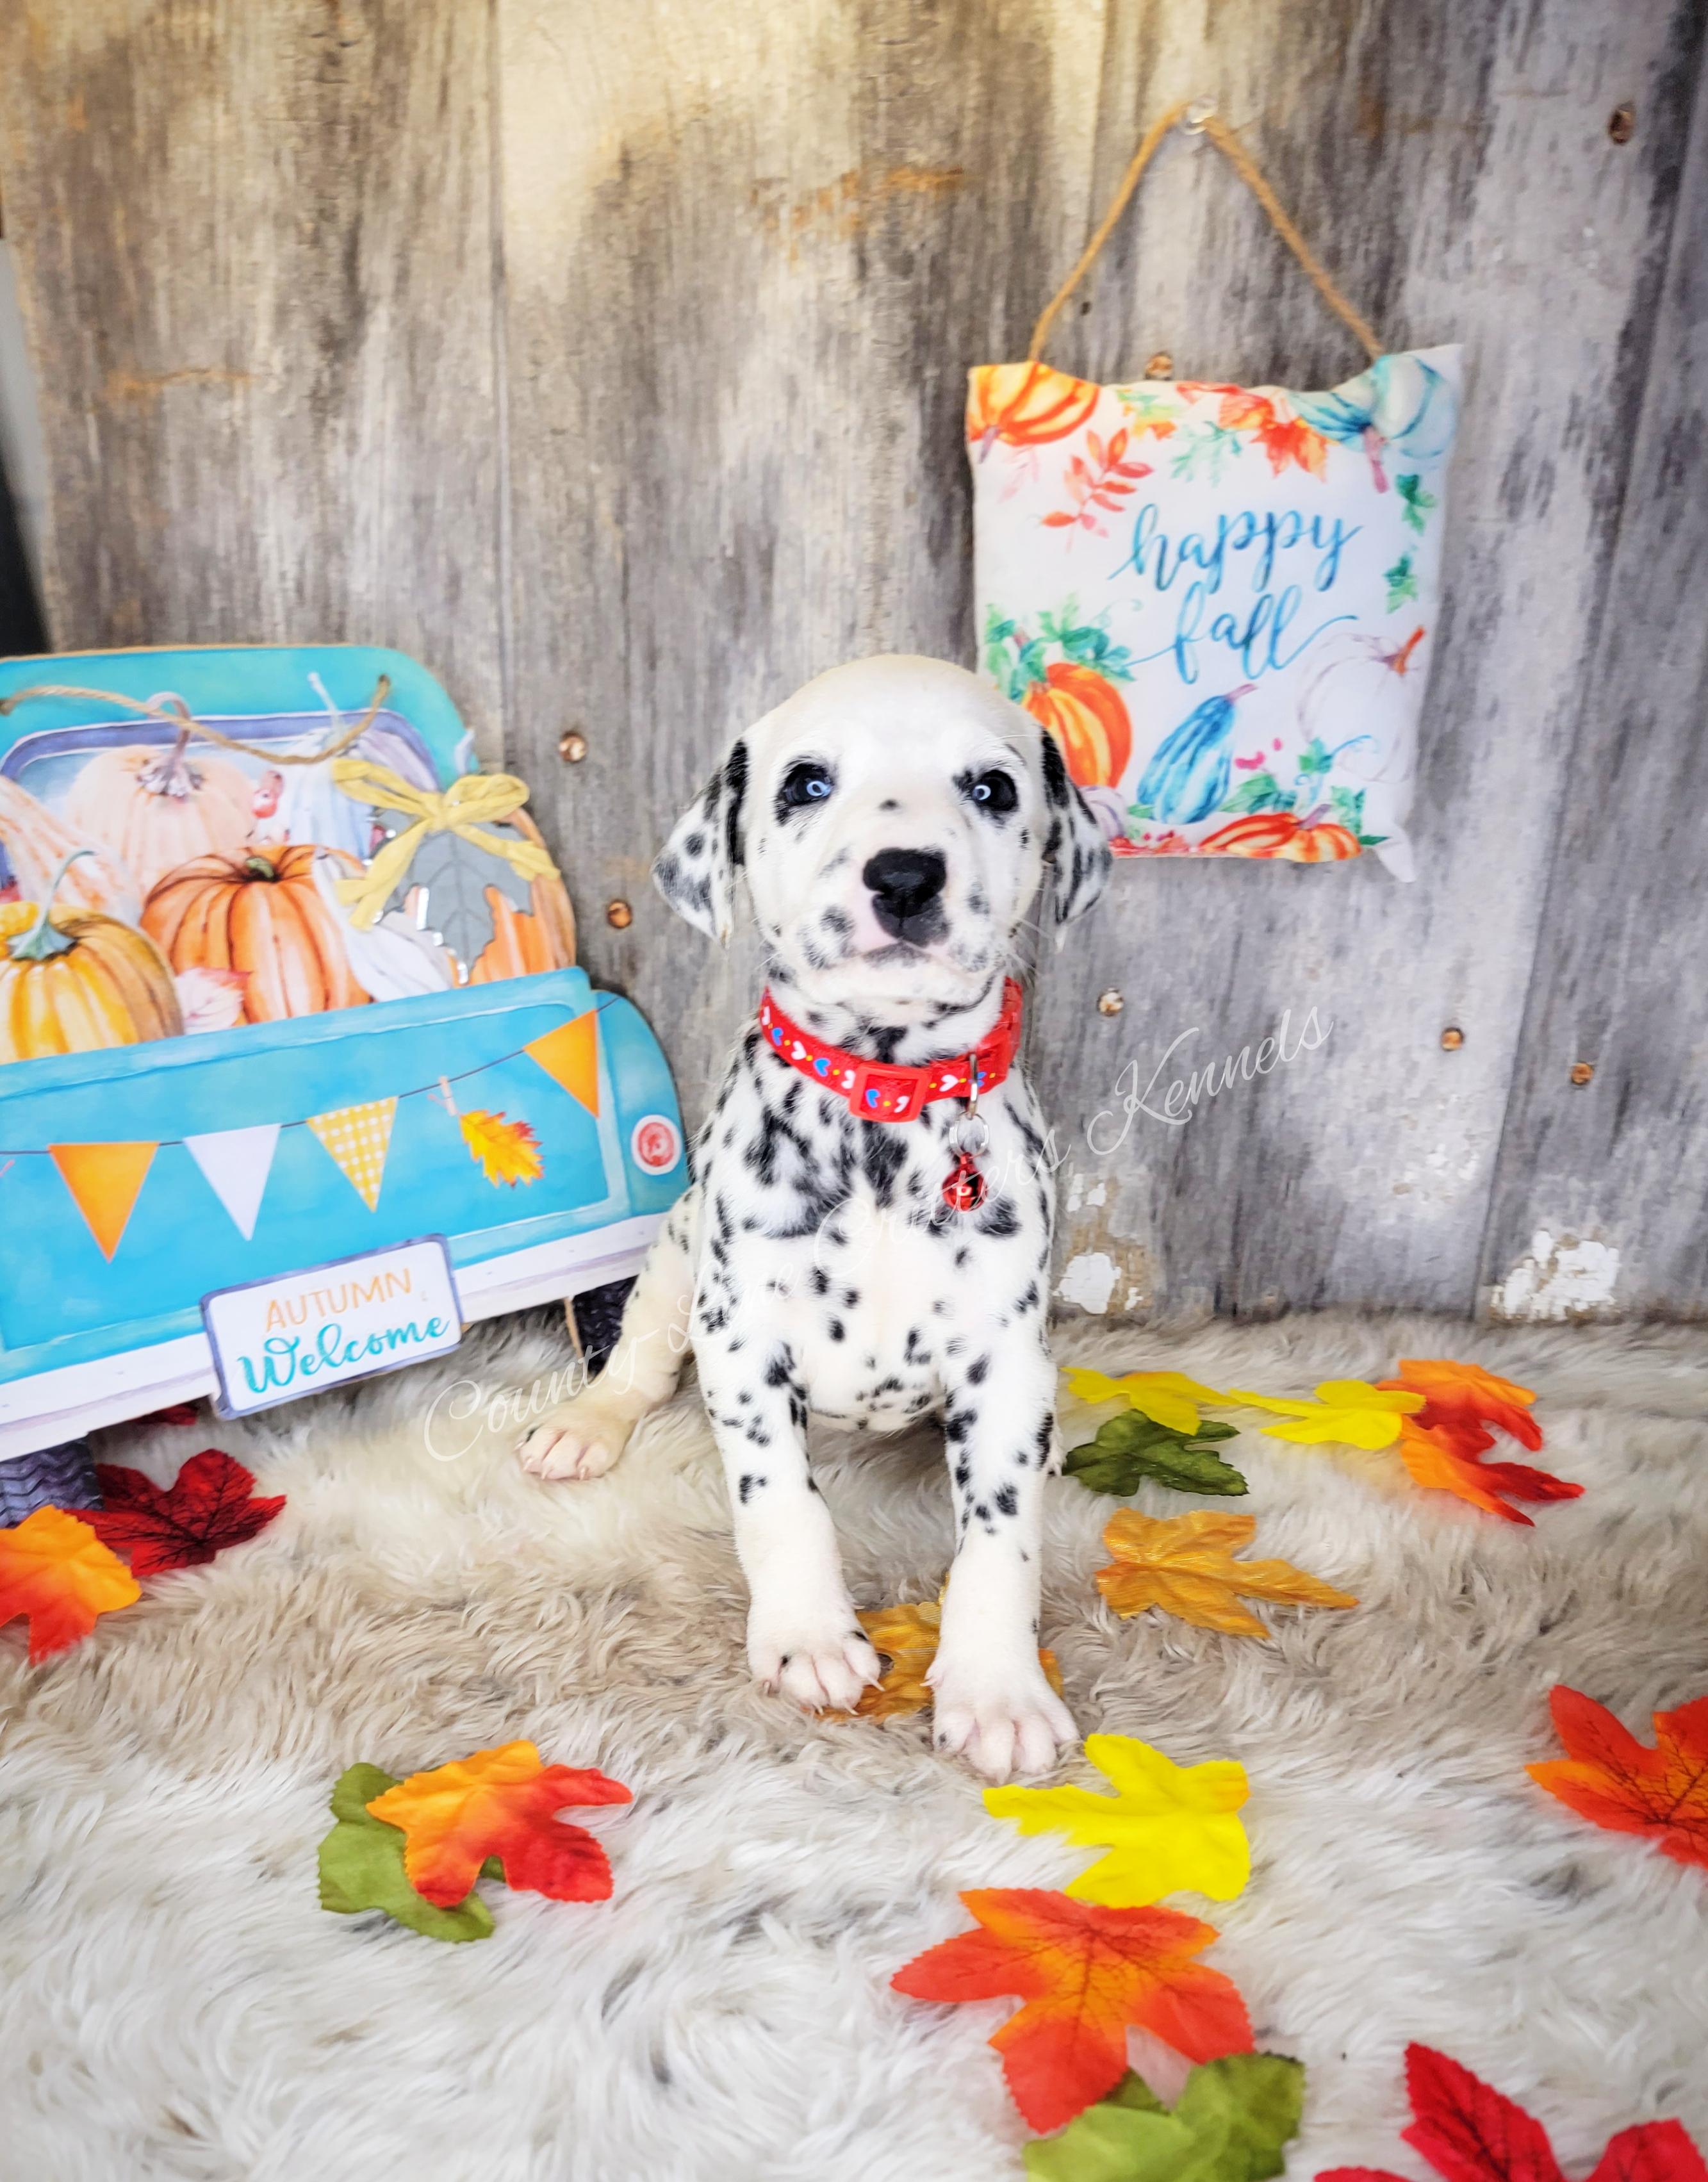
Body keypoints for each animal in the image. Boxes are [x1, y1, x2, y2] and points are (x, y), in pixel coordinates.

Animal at [518, 655, 1110, 1779]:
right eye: (805, 784)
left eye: (991, 788)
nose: (905, 876)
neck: (883, 1096)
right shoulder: (741, 1336)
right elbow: (780, 1501)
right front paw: (806, 1638)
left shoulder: (1001, 1354)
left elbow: (999, 1537)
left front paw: (997, 1688)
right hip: (674, 1257)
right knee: (638, 1356)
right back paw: (585, 1423)